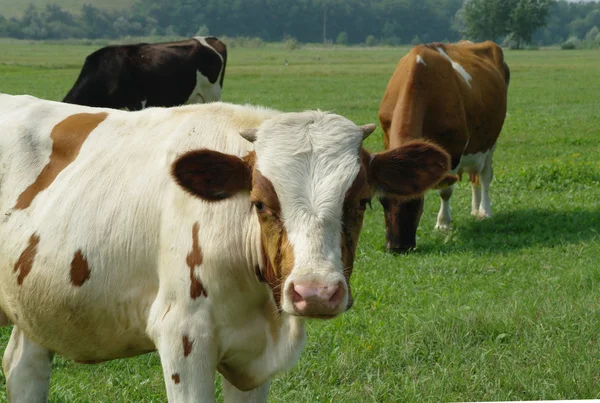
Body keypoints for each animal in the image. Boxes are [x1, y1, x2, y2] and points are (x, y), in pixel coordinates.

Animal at [0, 94, 450, 400]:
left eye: (361, 202)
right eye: (260, 203)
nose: (316, 293)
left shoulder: (255, 360)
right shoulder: (183, 338)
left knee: (24, 367)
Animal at [378, 38, 508, 252]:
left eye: (417, 201)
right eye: (382, 201)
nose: (396, 247)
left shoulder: (453, 149)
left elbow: (445, 190)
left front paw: (443, 224)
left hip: (490, 143)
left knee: (485, 176)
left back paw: (484, 211)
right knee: (475, 179)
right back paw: (475, 209)